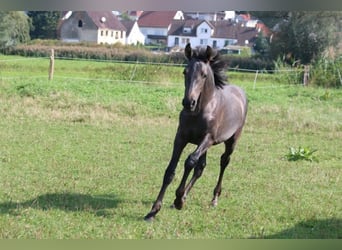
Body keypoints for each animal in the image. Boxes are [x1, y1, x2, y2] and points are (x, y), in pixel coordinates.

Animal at [144, 44, 248, 222]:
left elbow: (189, 161)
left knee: (224, 161)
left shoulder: (207, 139)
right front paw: (153, 211)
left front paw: (178, 199)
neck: (199, 110)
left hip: (231, 141)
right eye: (185, 72)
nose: (188, 102)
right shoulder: (181, 138)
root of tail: (240, 93)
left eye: (204, 75)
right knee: (201, 168)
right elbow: (170, 171)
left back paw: (214, 199)